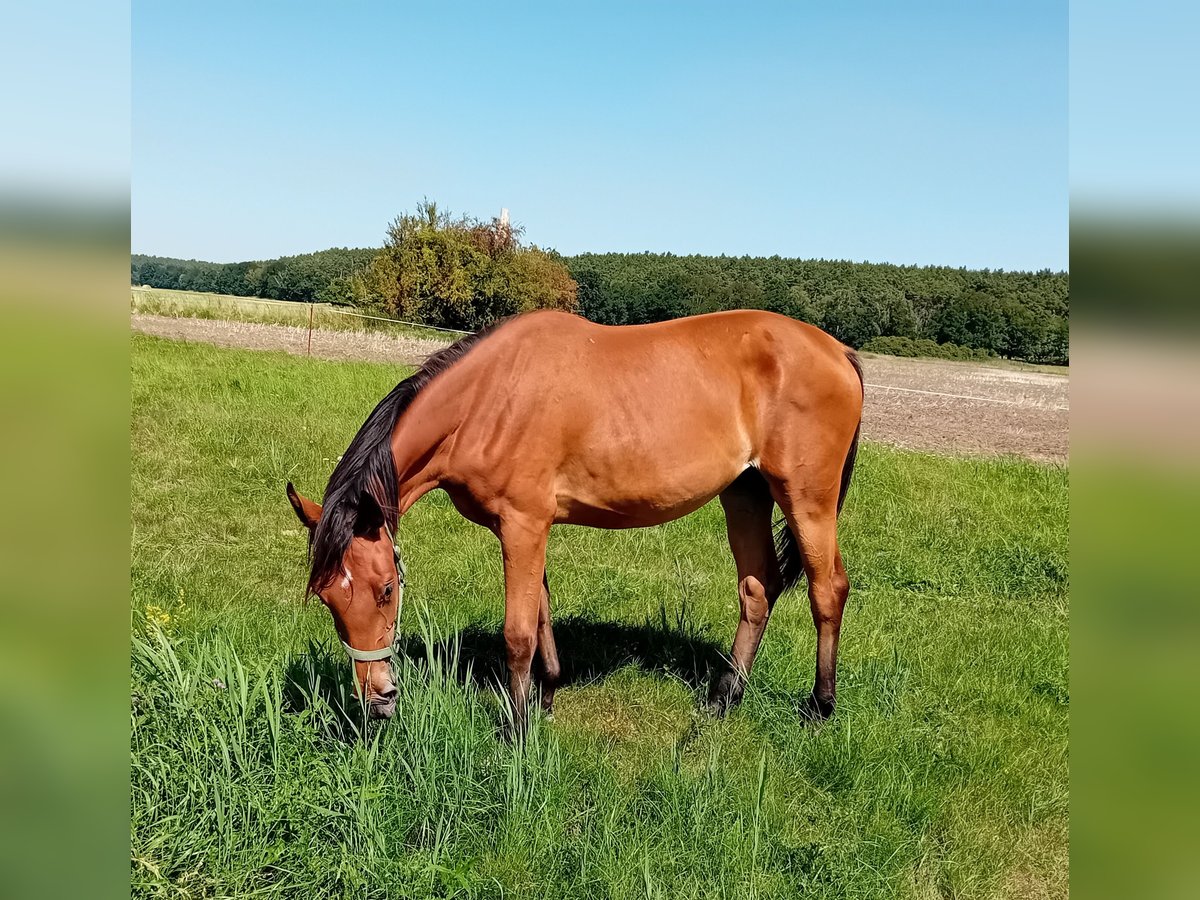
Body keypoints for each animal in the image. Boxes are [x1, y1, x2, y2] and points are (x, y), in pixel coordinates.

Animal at [286, 309, 863, 731]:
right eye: (328, 598)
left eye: (386, 588)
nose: (378, 699)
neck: (488, 398)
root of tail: (836, 350)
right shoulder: (526, 528)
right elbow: (541, 615)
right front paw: (544, 698)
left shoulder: (522, 525)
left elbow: (518, 632)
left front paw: (518, 731)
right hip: (745, 493)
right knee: (757, 587)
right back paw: (725, 697)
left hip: (806, 499)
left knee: (827, 589)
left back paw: (820, 705)